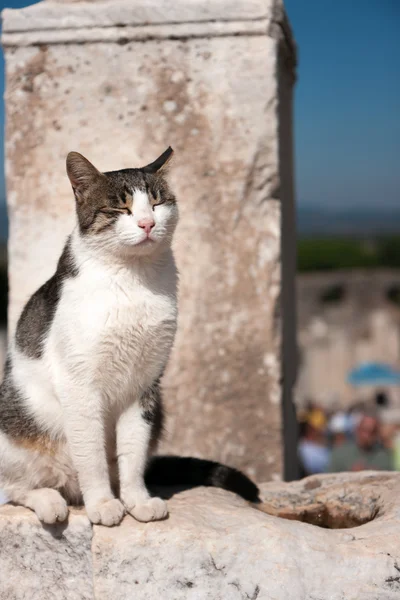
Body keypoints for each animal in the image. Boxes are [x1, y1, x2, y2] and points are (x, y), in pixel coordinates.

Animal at [0, 149, 260, 524]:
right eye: (120, 208)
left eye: (156, 203)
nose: (147, 224)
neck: (131, 279)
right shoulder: (80, 384)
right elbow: (91, 453)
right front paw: (102, 503)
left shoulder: (145, 384)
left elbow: (134, 452)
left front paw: (137, 499)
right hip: (16, 434)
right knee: (16, 488)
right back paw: (49, 501)